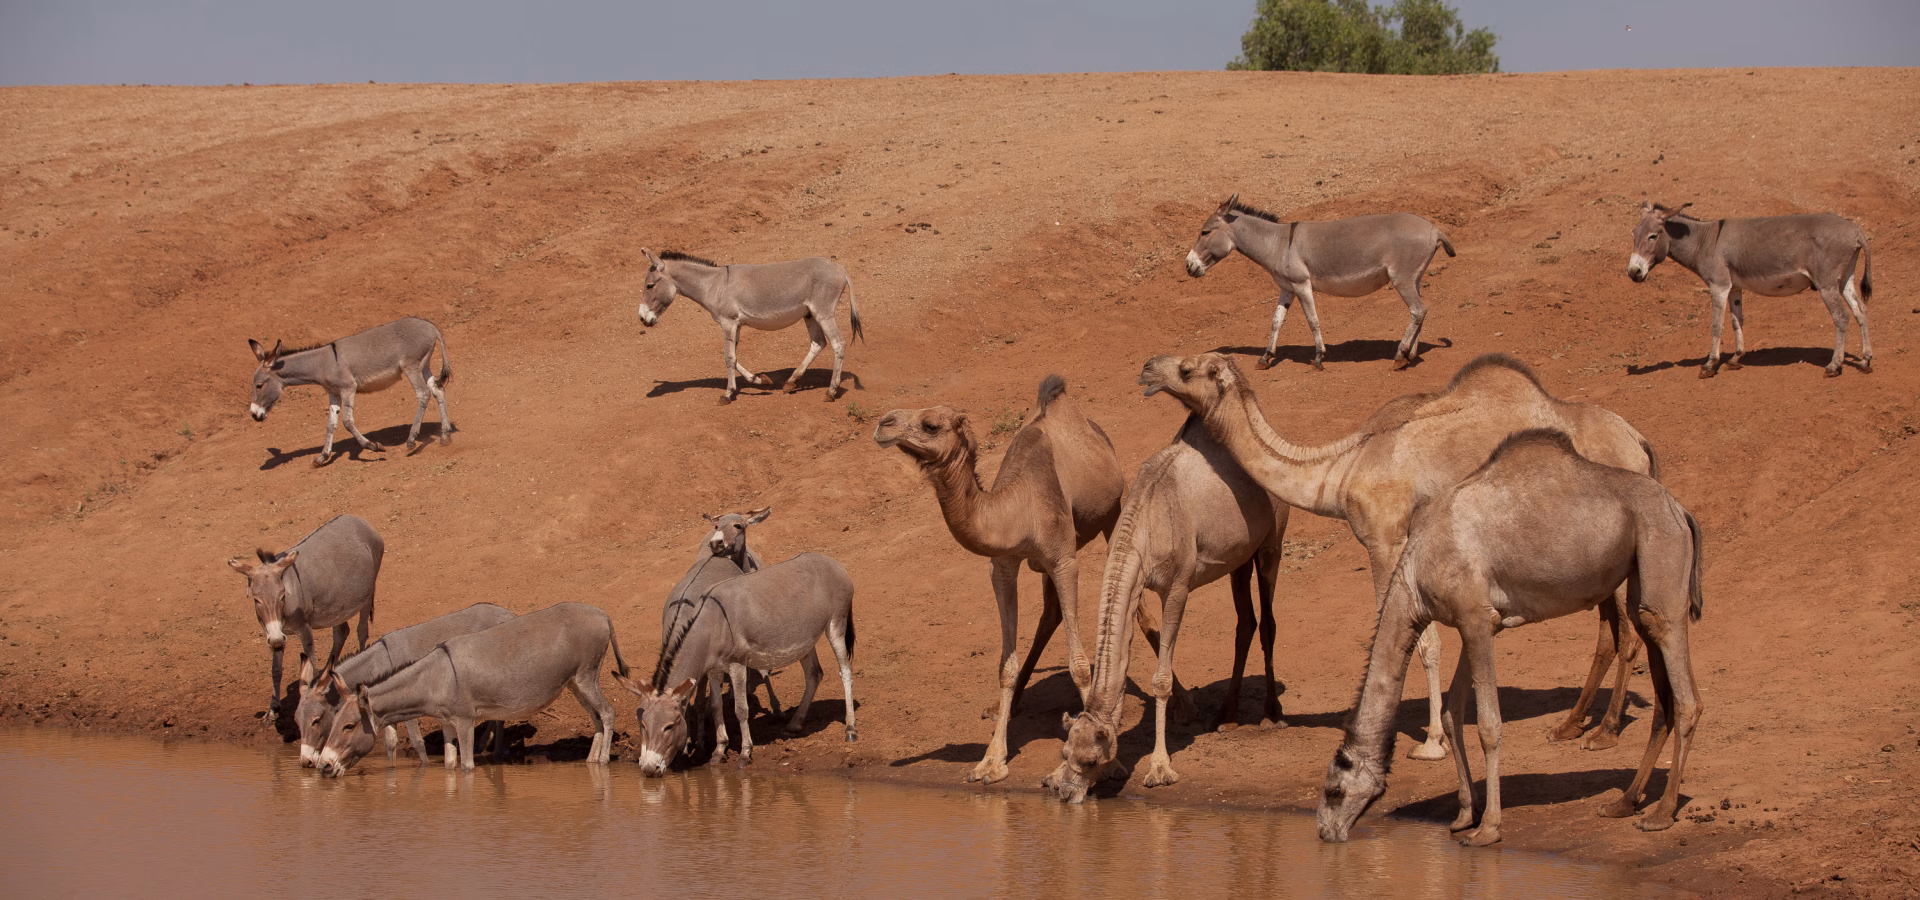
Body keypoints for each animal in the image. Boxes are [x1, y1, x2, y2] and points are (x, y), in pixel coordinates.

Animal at [874, 374, 1178, 784]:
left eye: (931, 424)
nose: (883, 423)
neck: (1019, 508)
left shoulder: (1064, 561)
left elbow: (1079, 665)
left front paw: (1110, 762)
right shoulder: (1003, 566)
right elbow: (1006, 665)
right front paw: (991, 761)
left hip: (1114, 511)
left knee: (1134, 603)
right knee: (1052, 614)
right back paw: (1010, 705)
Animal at [1041, 414, 1289, 803]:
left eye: (1092, 760)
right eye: (1065, 752)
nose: (1068, 795)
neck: (1146, 523)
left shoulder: (1177, 589)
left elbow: (1161, 680)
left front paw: (1160, 768)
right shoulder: (1134, 585)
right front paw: (1053, 777)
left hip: (1272, 541)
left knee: (1268, 621)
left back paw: (1271, 715)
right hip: (1239, 556)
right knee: (1245, 622)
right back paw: (1226, 717)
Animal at [1138, 351, 1659, 759]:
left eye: (1187, 368)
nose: (1146, 368)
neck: (1343, 468)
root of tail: (1637, 441)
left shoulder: (1385, 540)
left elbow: (1421, 641)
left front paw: (1430, 741)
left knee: (1628, 634)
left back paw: (1605, 732)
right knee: (1612, 631)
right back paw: (1571, 725)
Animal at [1317, 429, 1705, 845]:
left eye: (1334, 791)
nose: (1325, 831)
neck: (1416, 573)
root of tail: (1680, 511)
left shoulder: (1474, 617)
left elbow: (1489, 725)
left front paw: (1487, 828)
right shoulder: (1477, 622)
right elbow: (1452, 713)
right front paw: (1464, 816)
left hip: (1661, 552)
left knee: (1684, 691)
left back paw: (1661, 813)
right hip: (1639, 573)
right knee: (1659, 678)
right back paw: (1624, 803)